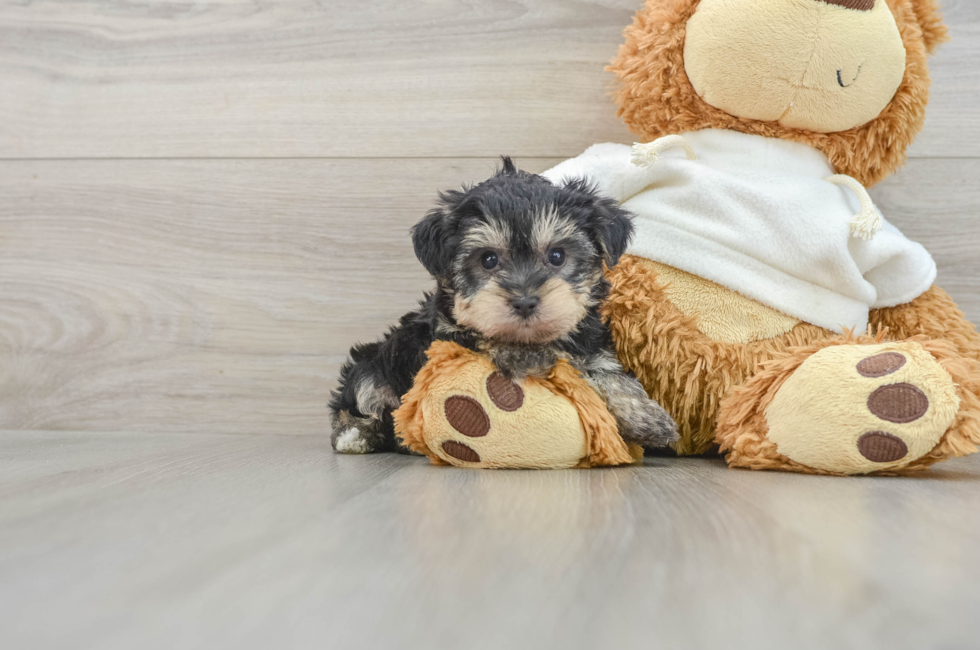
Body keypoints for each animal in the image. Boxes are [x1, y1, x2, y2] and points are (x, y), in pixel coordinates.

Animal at [328, 158, 672, 450]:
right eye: (488, 259)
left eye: (557, 256)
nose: (524, 301)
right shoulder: (447, 335)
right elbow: (490, 340)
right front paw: (530, 356)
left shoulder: (594, 348)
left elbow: (608, 373)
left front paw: (646, 416)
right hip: (372, 364)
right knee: (359, 400)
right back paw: (356, 435)